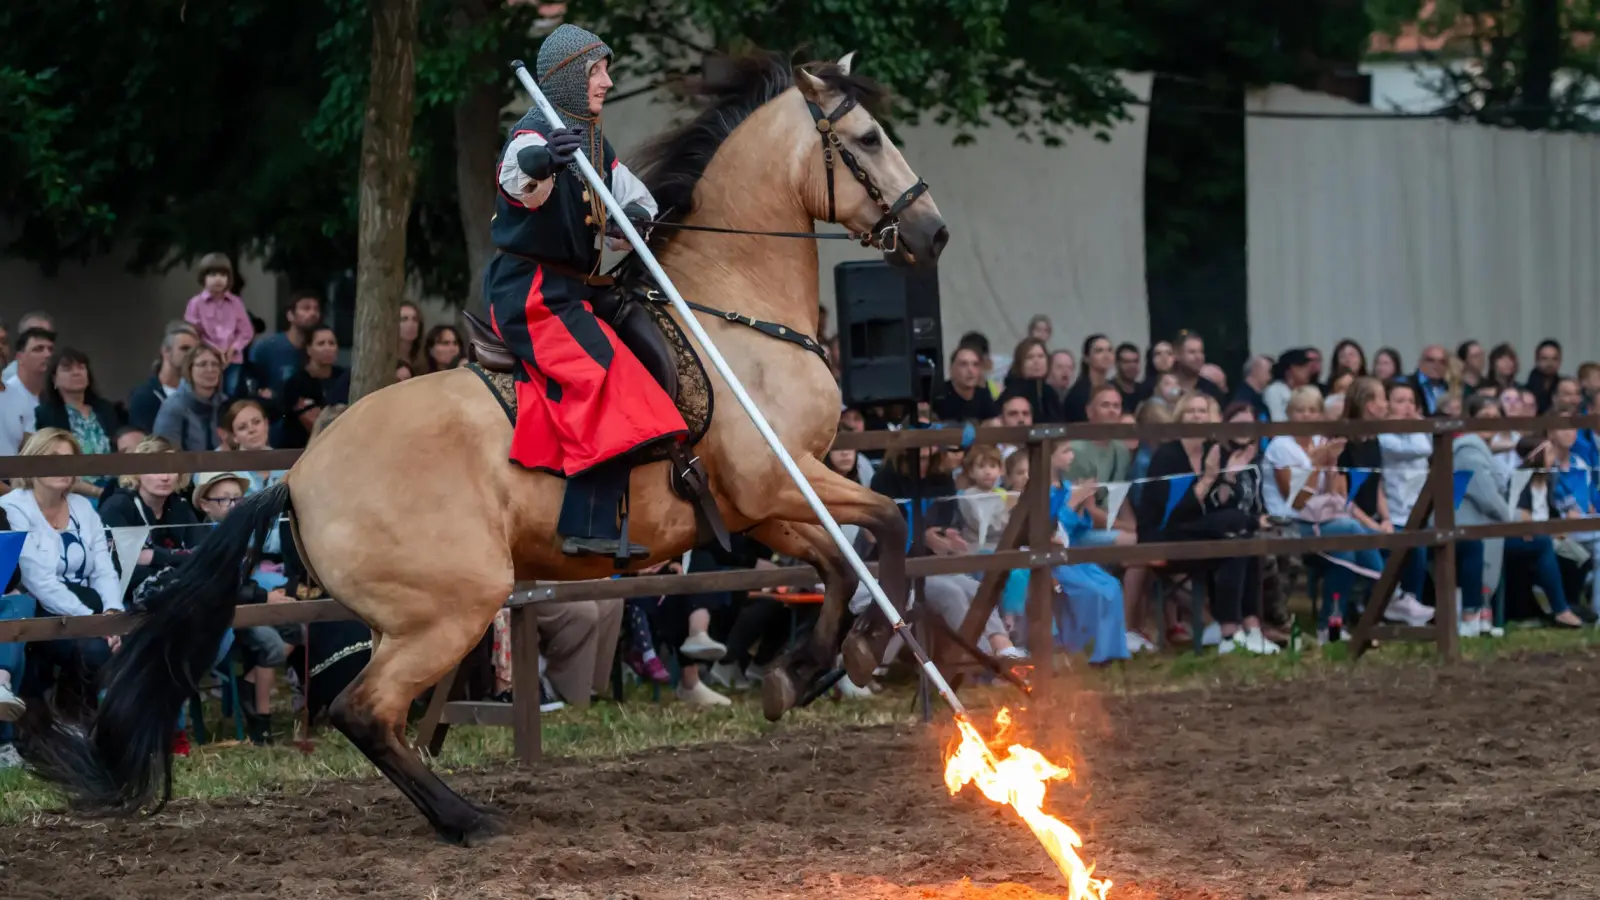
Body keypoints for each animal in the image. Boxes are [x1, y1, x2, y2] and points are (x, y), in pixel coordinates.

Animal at [25, 54, 940, 839]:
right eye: (866, 140)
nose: (932, 234)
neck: (729, 314)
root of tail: (298, 479)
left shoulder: (761, 507)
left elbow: (837, 561)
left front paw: (803, 671)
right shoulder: (779, 483)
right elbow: (884, 525)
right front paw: (863, 649)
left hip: (422, 619)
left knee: (375, 715)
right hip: (453, 607)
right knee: (362, 712)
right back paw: (467, 819)